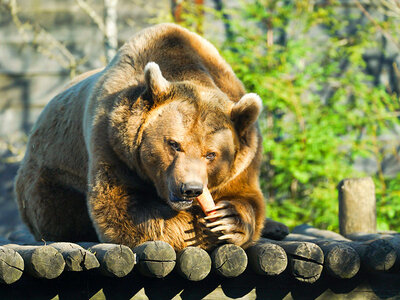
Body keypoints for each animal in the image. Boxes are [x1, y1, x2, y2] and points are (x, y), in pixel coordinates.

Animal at [14, 22, 266, 250]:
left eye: (211, 154)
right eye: (174, 144)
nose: (190, 188)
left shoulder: (244, 160)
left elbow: (247, 197)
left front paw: (227, 219)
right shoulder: (113, 142)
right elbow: (126, 210)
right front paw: (195, 227)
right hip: (51, 175)